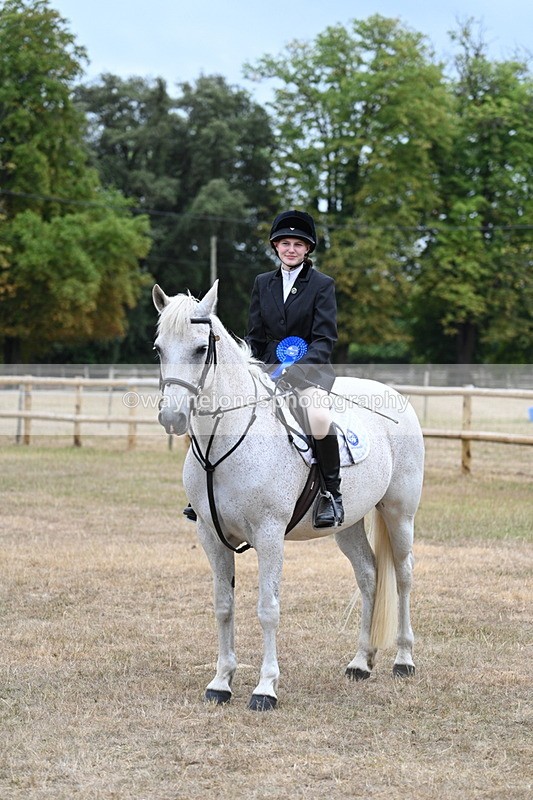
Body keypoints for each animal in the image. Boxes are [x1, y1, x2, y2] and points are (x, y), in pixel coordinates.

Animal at [152, 280, 425, 711]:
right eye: (159, 348)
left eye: (199, 349)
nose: (172, 418)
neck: (224, 443)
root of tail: (393, 395)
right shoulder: (211, 536)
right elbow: (223, 606)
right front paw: (221, 682)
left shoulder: (269, 534)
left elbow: (268, 609)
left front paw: (265, 688)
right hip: (348, 524)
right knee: (369, 575)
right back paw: (360, 662)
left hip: (399, 514)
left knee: (403, 576)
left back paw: (403, 659)